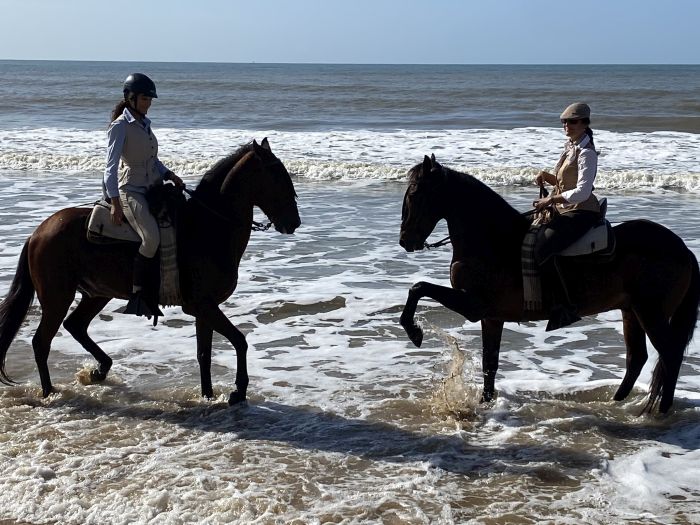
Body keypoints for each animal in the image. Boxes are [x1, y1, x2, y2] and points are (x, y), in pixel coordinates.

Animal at [0, 137, 298, 404]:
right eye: (277, 177)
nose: (294, 221)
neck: (207, 226)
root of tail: (38, 232)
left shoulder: (205, 307)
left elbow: (204, 354)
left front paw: (208, 395)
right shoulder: (202, 305)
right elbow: (239, 340)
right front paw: (238, 391)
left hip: (97, 293)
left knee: (75, 325)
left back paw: (99, 370)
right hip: (57, 298)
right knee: (41, 341)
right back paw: (50, 392)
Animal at [400, 155, 700, 414]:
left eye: (414, 194)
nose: (405, 241)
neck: (493, 240)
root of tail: (683, 249)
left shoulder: (473, 305)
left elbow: (419, 287)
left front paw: (414, 331)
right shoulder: (491, 317)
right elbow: (489, 364)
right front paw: (485, 402)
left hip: (651, 313)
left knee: (670, 354)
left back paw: (661, 410)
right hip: (631, 312)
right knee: (636, 358)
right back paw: (616, 403)